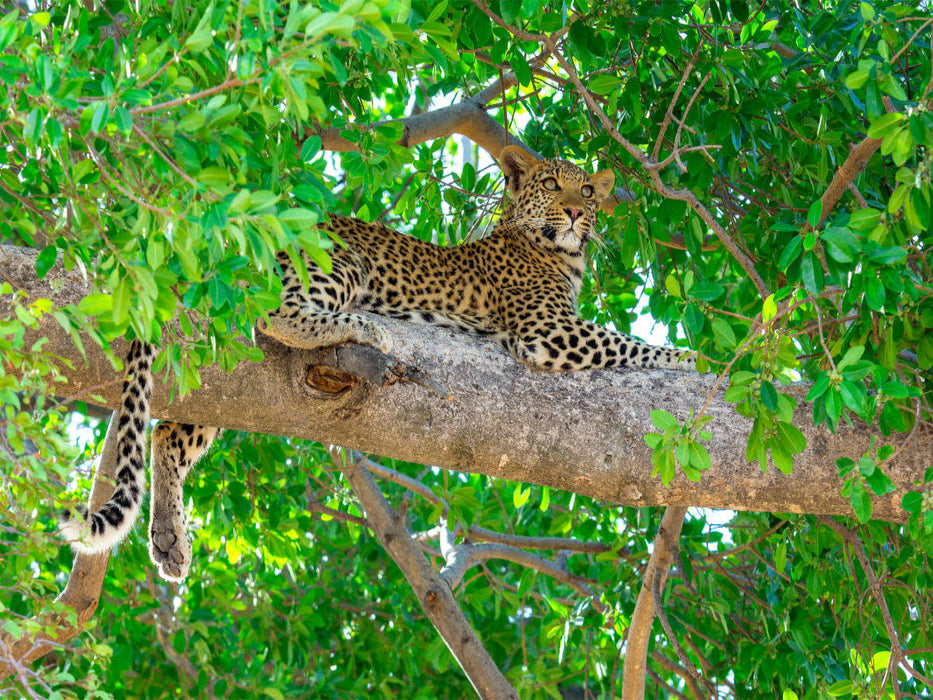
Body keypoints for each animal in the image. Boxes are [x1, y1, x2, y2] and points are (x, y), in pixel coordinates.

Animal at [60, 145, 694, 583]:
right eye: (549, 184)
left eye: (588, 190)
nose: (573, 212)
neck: (561, 253)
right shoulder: (548, 332)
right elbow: (633, 344)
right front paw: (695, 358)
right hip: (341, 262)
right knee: (277, 314)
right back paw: (360, 327)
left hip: (223, 384)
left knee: (167, 432)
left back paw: (169, 538)